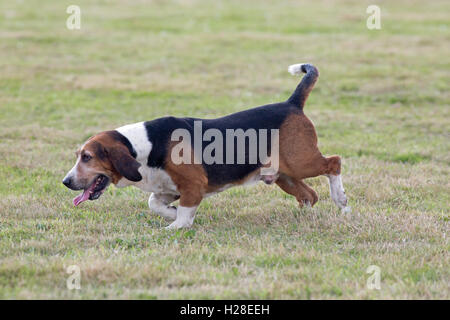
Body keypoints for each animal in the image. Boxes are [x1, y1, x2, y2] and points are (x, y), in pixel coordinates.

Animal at [63, 63, 350, 228]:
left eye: (87, 157)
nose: (65, 182)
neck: (144, 145)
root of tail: (292, 104)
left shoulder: (193, 186)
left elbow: (183, 216)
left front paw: (175, 226)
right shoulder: (168, 189)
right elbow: (155, 203)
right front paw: (171, 213)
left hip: (302, 162)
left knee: (334, 163)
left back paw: (342, 202)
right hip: (283, 176)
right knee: (309, 196)